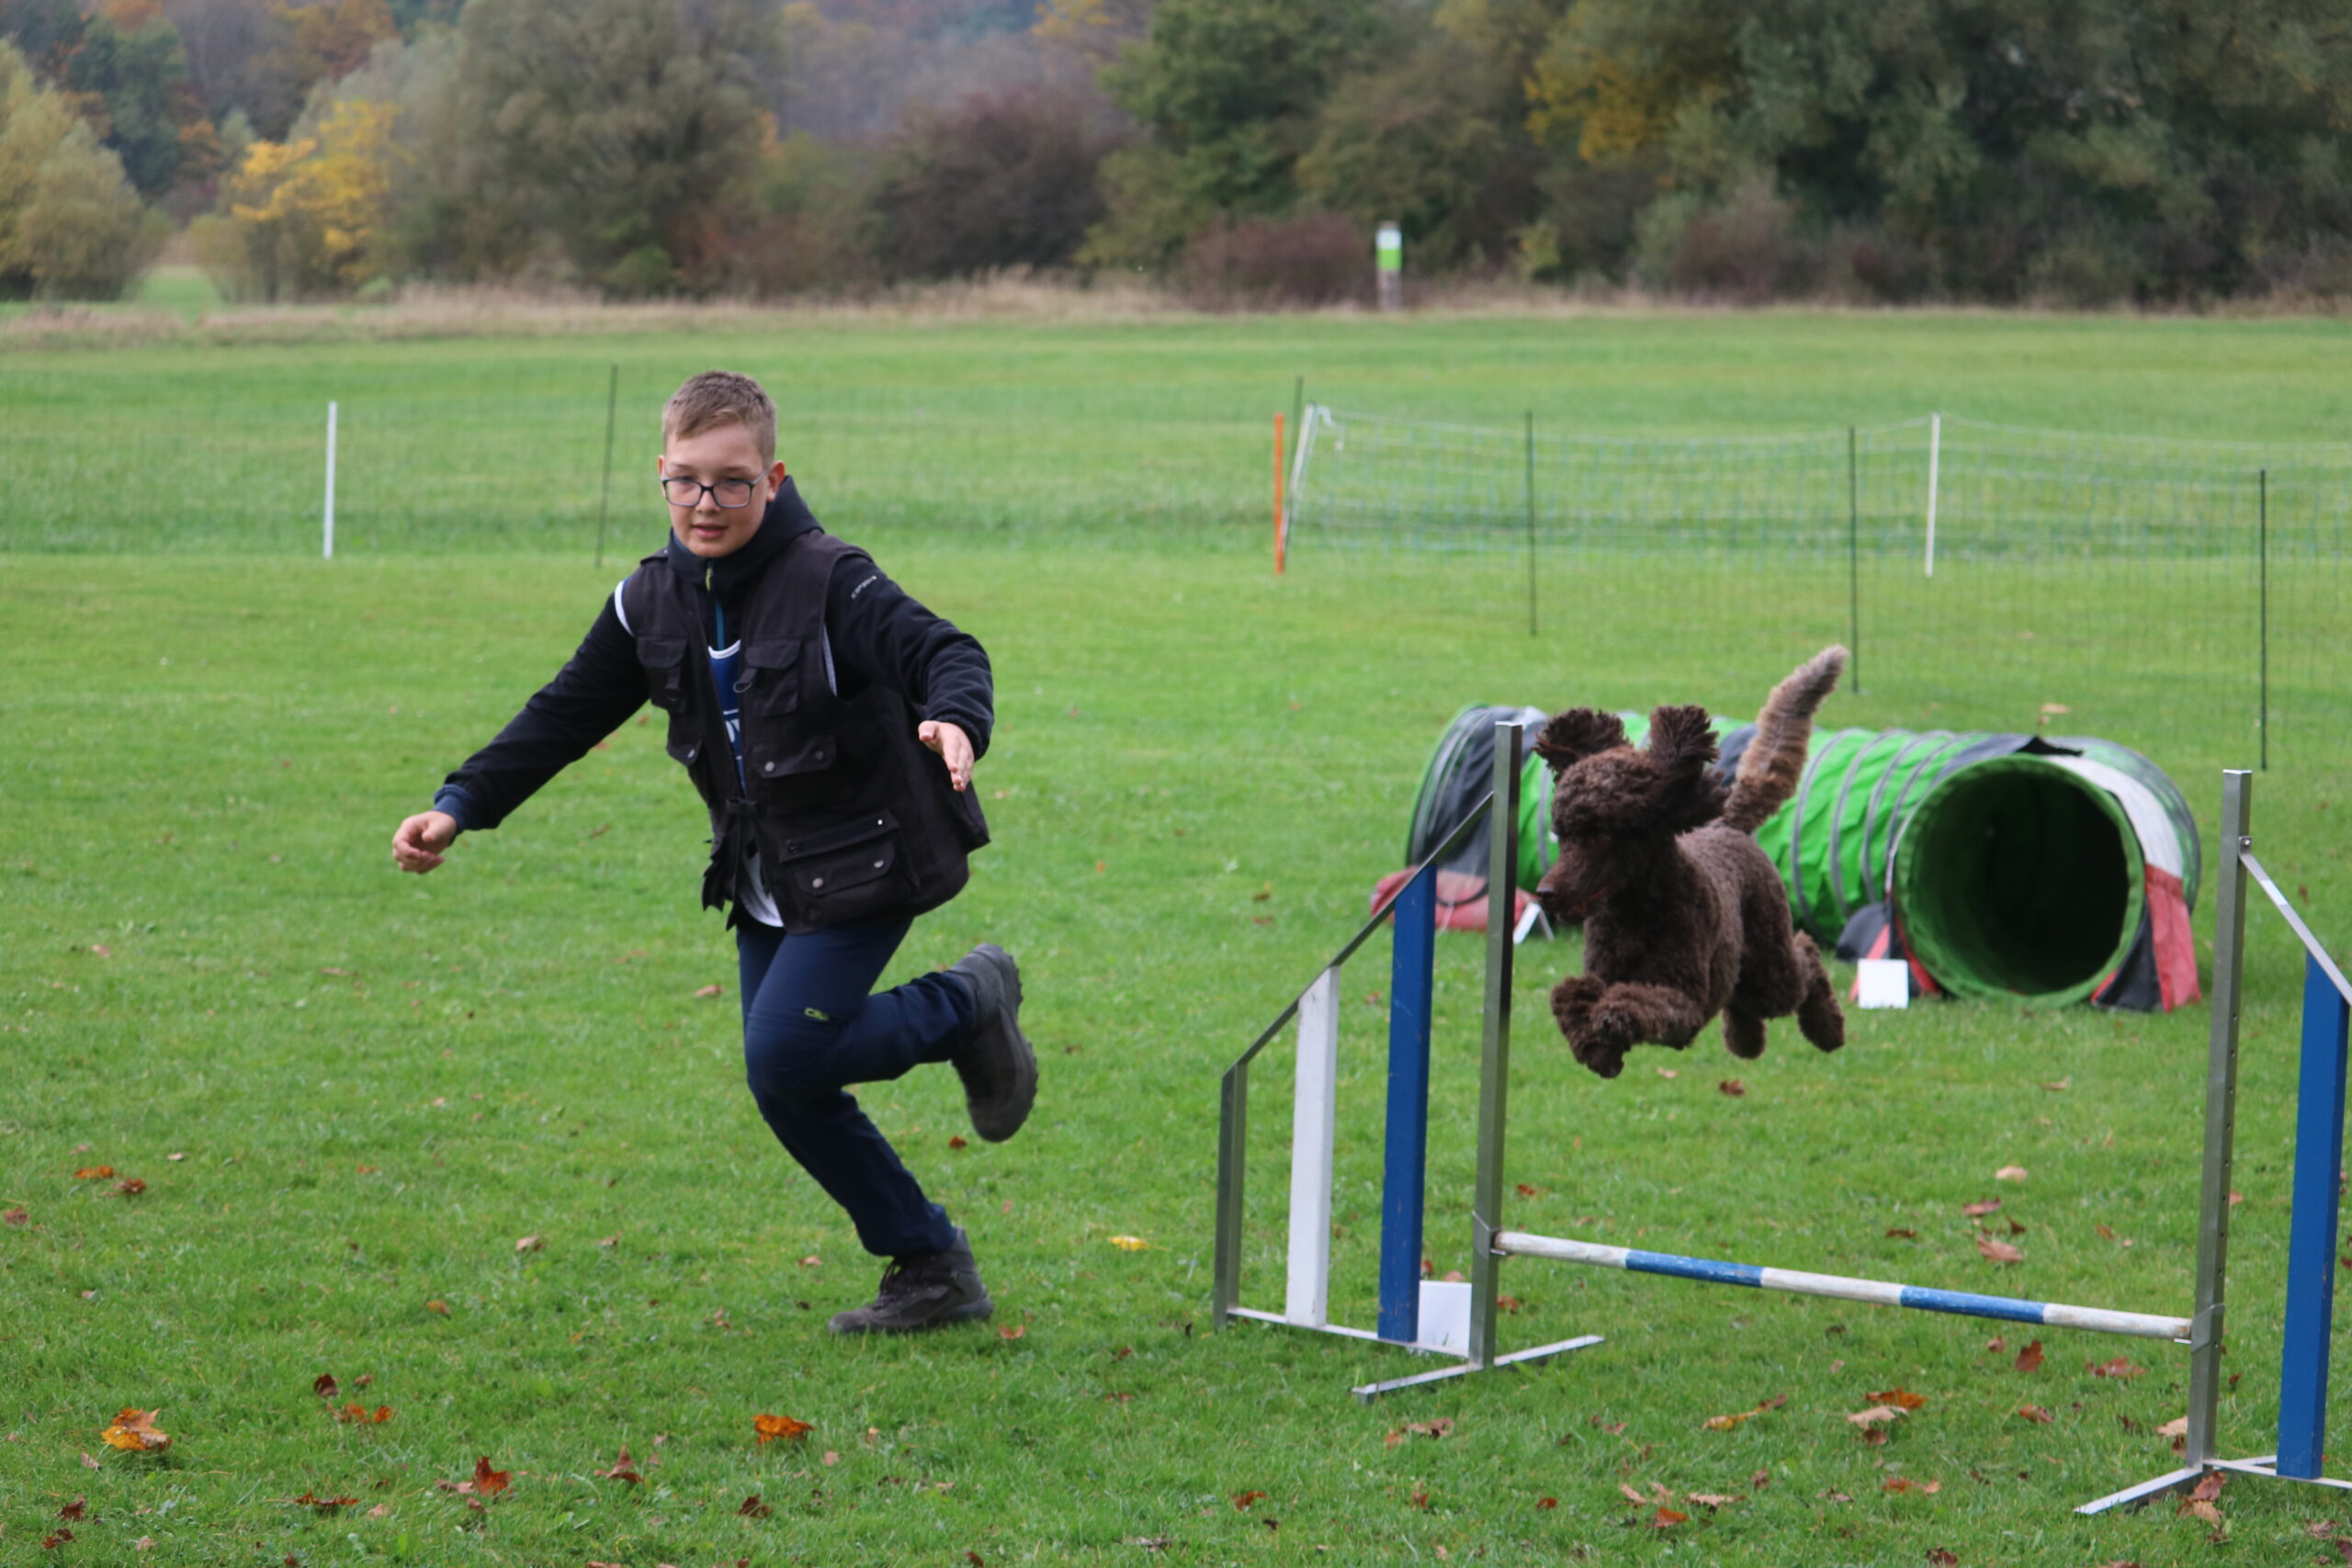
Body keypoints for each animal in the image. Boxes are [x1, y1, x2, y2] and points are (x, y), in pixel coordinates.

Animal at [1543, 649, 1853, 1081]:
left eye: (1603, 835)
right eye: (1563, 834)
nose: (1546, 894)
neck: (1635, 912)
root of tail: (1728, 825)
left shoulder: (1684, 1005)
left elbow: (1631, 1002)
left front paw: (1609, 1019)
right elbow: (1567, 996)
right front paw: (1596, 1049)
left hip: (1771, 963)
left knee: (1805, 958)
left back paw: (1827, 1030)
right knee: (1742, 995)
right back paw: (1745, 1040)